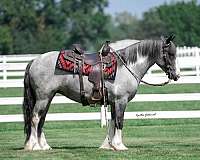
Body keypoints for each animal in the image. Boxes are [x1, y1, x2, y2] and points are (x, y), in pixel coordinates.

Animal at [22, 35, 179, 151]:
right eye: (171, 54)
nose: (176, 75)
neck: (126, 66)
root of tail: (34, 61)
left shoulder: (114, 102)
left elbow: (113, 122)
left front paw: (109, 145)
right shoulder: (121, 101)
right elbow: (119, 121)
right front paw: (120, 146)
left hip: (47, 98)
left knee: (41, 119)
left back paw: (44, 146)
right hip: (43, 98)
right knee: (35, 118)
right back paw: (33, 146)